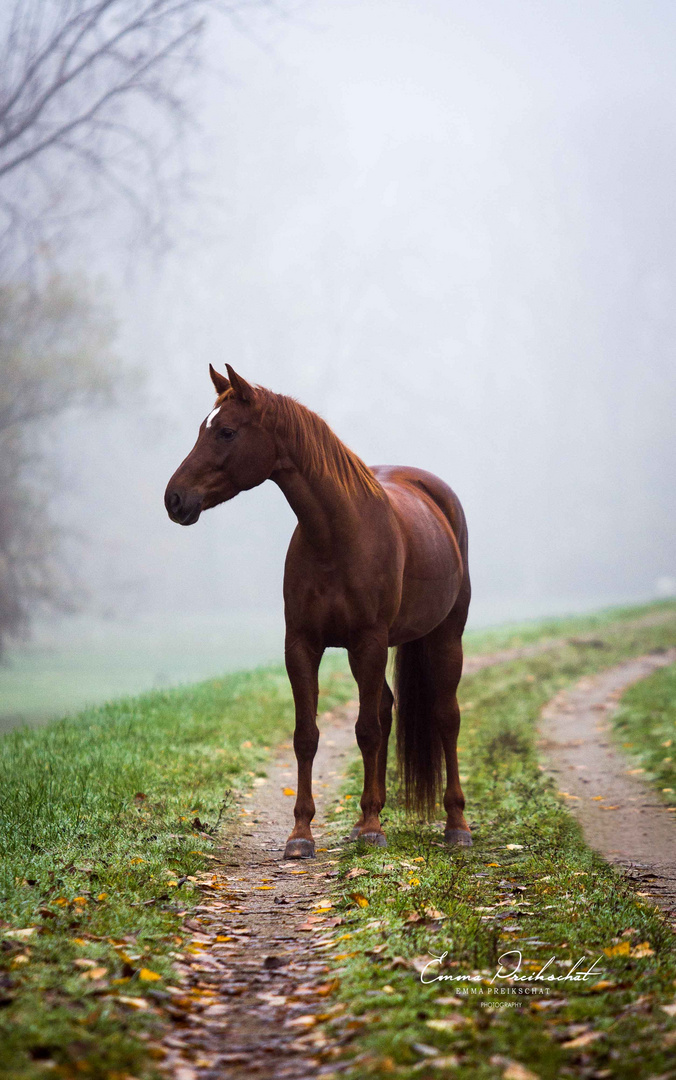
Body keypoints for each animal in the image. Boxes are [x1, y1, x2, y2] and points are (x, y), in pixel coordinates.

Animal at [164, 367, 468, 855]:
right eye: (201, 430)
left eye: (226, 432)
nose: (174, 499)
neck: (338, 535)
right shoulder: (303, 645)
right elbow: (307, 735)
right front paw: (302, 833)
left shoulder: (369, 641)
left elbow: (366, 731)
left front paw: (373, 829)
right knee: (386, 708)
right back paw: (366, 816)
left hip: (445, 636)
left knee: (445, 716)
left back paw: (455, 824)